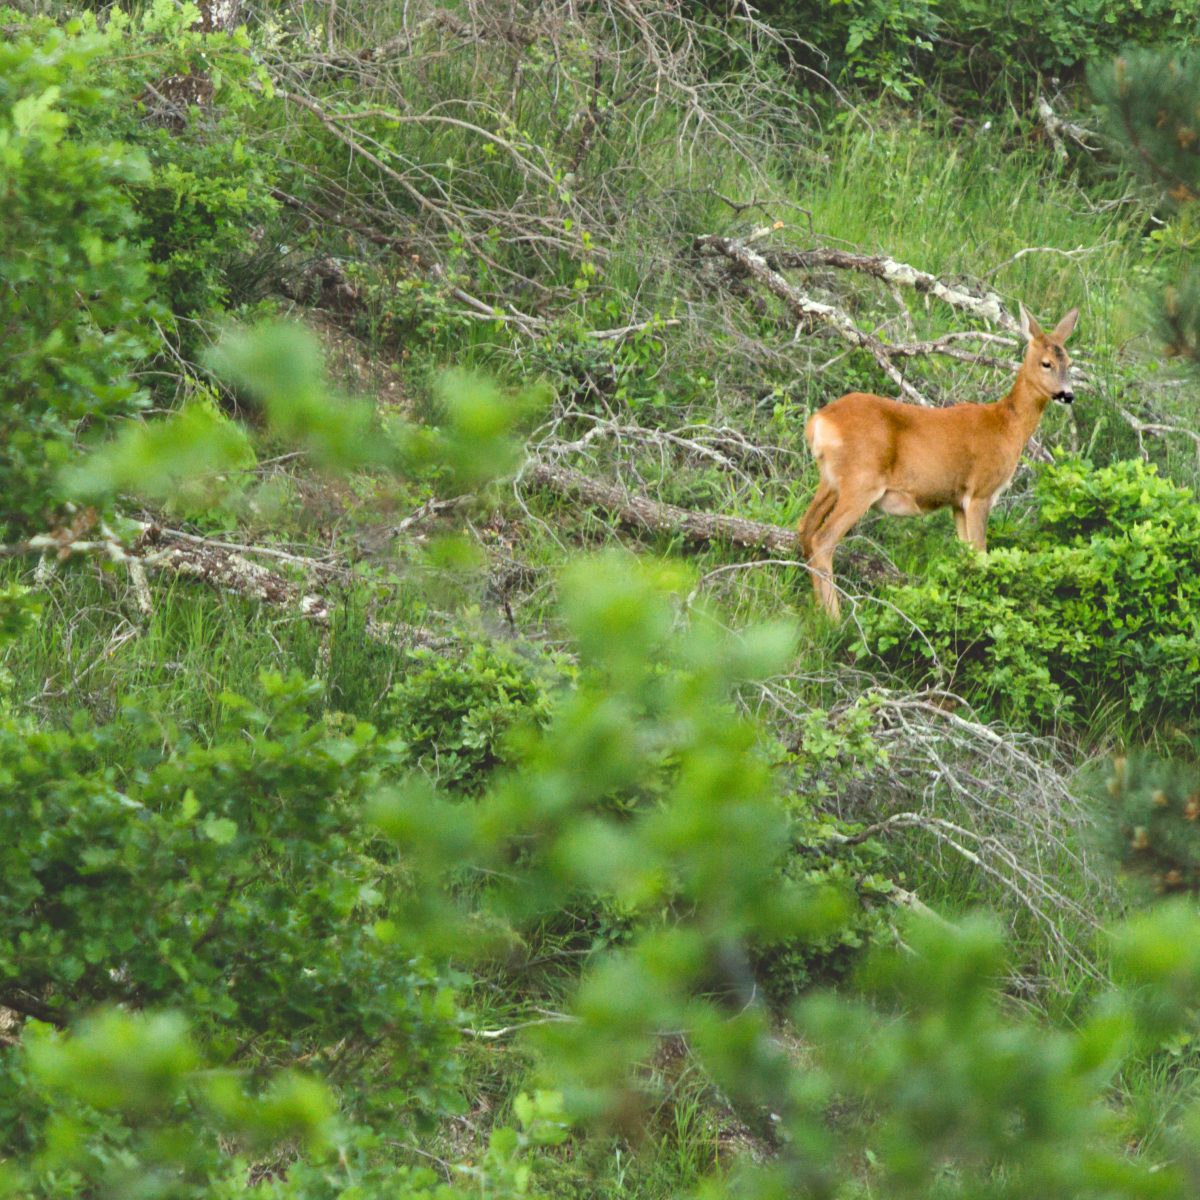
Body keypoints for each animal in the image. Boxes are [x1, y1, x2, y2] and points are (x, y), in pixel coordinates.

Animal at [798, 304, 1079, 617]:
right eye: (1046, 363)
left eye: (1069, 362)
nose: (1068, 395)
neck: (1007, 425)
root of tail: (818, 421)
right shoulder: (981, 492)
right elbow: (982, 554)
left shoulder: (957, 502)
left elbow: (967, 556)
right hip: (861, 482)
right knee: (823, 540)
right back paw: (835, 618)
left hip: (830, 482)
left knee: (804, 531)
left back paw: (819, 611)